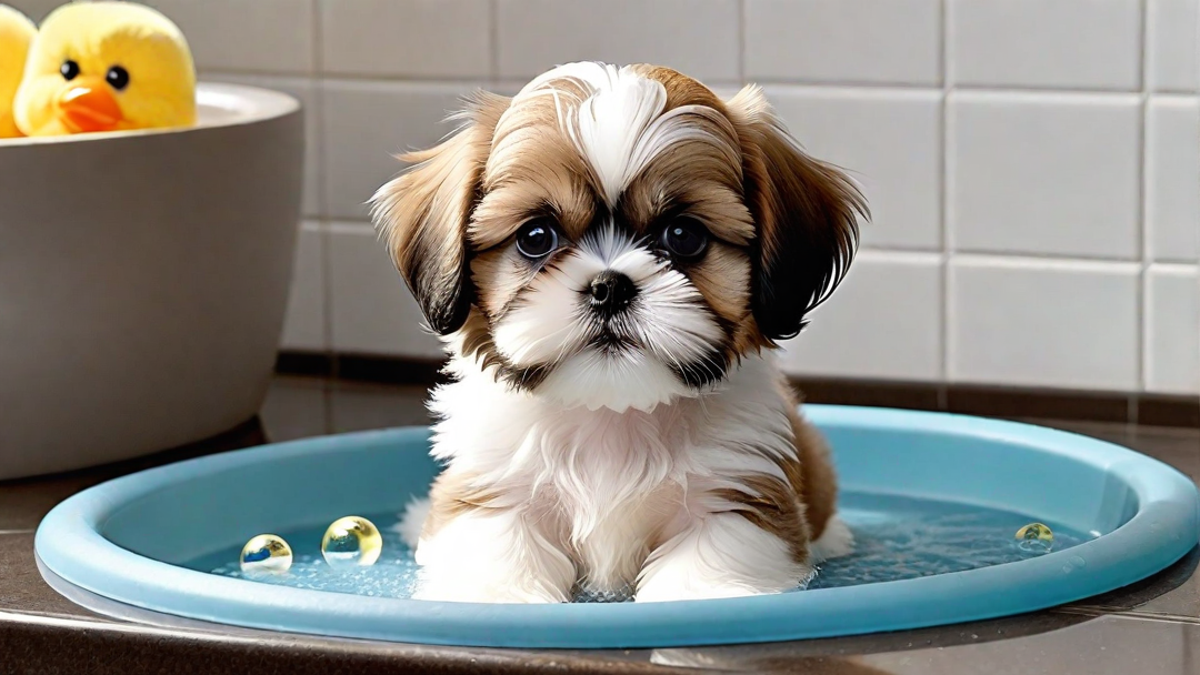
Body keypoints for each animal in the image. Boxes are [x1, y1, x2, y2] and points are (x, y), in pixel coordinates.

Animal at [369, 60, 868, 600]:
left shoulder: (736, 491)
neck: (612, 416)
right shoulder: (492, 489)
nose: (608, 287)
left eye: (683, 235)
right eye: (536, 237)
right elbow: (495, 552)